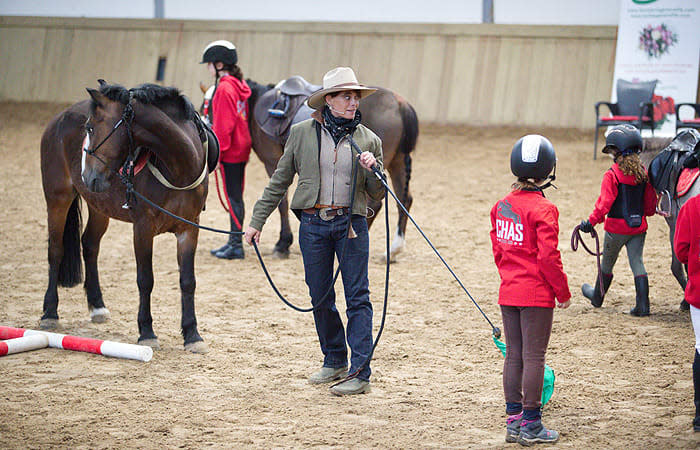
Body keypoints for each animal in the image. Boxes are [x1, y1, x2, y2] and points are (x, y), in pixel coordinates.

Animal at [41, 81, 216, 356]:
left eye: (91, 127)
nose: (87, 175)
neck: (178, 168)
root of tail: (58, 119)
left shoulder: (189, 228)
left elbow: (188, 281)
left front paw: (192, 335)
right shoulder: (143, 228)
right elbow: (146, 280)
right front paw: (147, 332)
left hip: (99, 207)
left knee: (89, 245)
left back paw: (97, 306)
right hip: (57, 199)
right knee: (55, 251)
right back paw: (50, 312)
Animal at [205, 79, 418, 258]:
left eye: (209, 105)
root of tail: (400, 103)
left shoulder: (272, 160)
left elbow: (282, 201)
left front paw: (282, 244)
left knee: (376, 203)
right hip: (397, 162)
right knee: (404, 199)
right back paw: (393, 250)